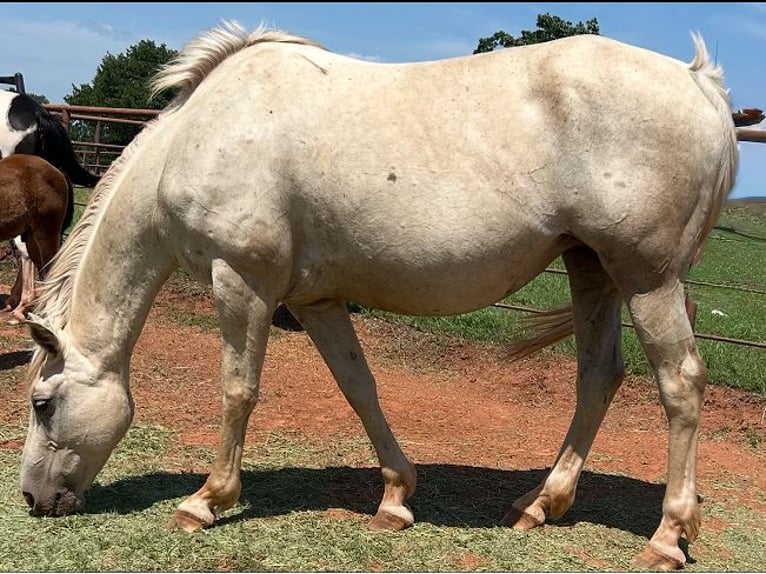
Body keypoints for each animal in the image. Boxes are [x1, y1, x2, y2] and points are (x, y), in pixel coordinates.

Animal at [19, 22, 737, 570]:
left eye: (41, 403)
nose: (31, 500)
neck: (203, 134)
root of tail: (699, 81)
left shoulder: (242, 282)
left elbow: (237, 390)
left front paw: (206, 500)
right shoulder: (315, 301)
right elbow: (358, 387)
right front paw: (395, 498)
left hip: (647, 278)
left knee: (680, 384)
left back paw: (666, 539)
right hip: (592, 268)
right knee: (597, 377)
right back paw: (538, 504)